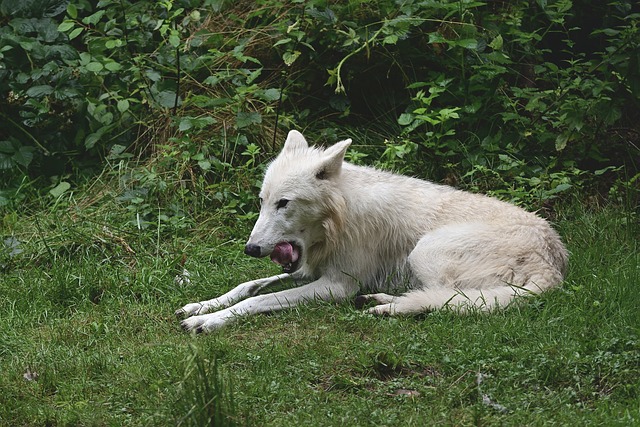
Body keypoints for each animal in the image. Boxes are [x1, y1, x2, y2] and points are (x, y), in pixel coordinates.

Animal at [178, 130, 568, 334]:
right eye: (262, 201)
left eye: (284, 203)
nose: (251, 249)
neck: (339, 218)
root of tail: (553, 261)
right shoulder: (311, 269)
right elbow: (248, 285)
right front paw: (202, 304)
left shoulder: (337, 285)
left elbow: (257, 299)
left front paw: (209, 321)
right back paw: (377, 301)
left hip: (425, 251)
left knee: (446, 299)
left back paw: (385, 308)